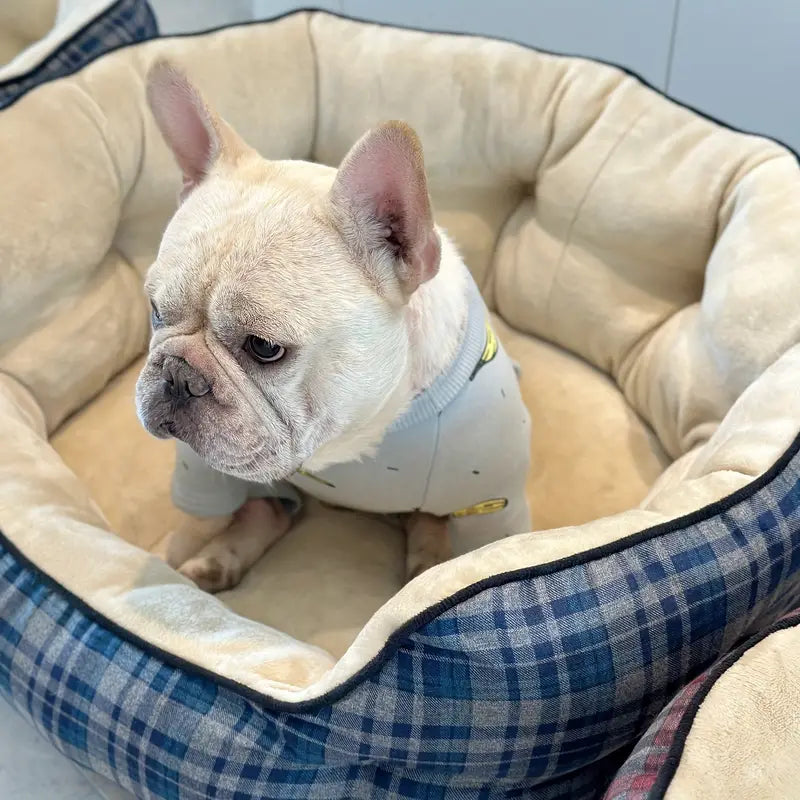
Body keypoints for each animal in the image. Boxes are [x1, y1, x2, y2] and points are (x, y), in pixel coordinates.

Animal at [134, 62, 528, 592]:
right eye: (156, 311)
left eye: (264, 347)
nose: (177, 376)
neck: (349, 439)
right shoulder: (203, 465)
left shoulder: (490, 500)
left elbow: (476, 556)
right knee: (267, 512)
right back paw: (215, 563)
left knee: (426, 523)